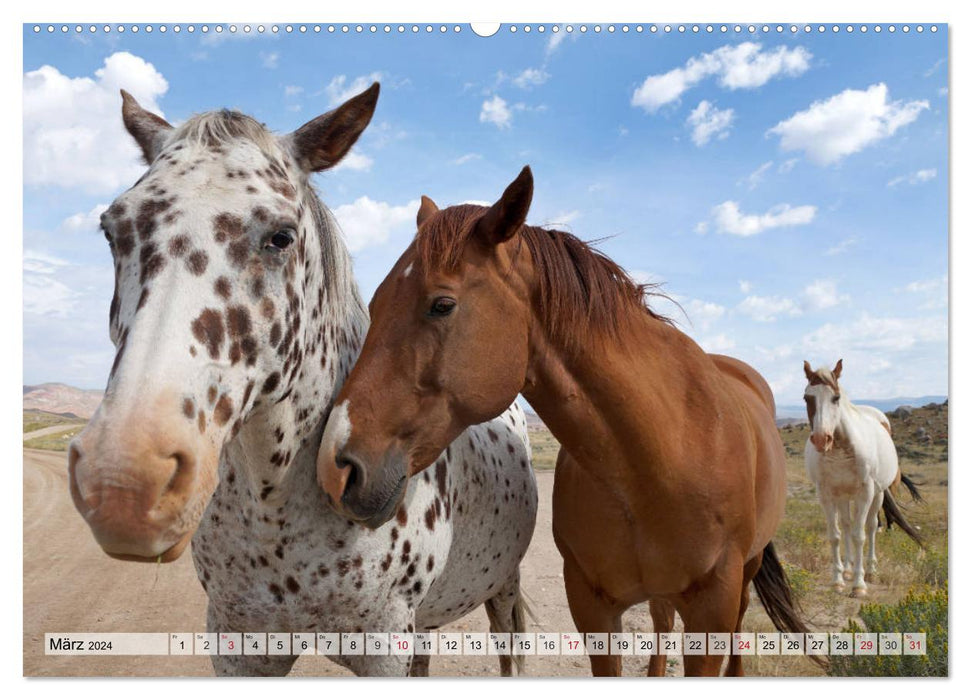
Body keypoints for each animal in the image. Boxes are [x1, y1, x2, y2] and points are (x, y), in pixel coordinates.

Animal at [68, 85, 540, 676]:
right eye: (114, 231)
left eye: (281, 236)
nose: (123, 483)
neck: (279, 515)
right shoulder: (239, 645)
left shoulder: (383, 649)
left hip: (502, 590)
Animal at [320, 167, 820, 676]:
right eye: (377, 304)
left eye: (442, 304)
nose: (335, 465)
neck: (658, 461)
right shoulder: (591, 606)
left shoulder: (712, 607)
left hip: (744, 576)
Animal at [804, 360, 928, 596]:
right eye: (807, 398)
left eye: (836, 398)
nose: (821, 439)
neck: (841, 449)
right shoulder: (826, 494)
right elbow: (835, 535)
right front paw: (838, 580)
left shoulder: (865, 493)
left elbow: (859, 535)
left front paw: (859, 585)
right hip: (843, 496)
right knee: (846, 525)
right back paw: (848, 568)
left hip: (877, 495)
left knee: (870, 527)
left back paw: (870, 570)